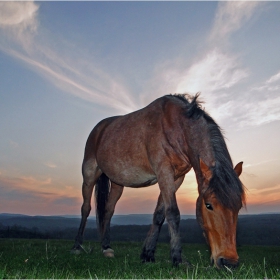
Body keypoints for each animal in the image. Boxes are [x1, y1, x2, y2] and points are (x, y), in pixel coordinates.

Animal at [71, 94, 245, 270]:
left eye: (238, 206)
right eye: (208, 205)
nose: (229, 262)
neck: (176, 127)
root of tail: (99, 129)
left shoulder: (176, 178)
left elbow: (159, 214)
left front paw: (147, 254)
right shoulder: (164, 172)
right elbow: (173, 213)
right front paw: (177, 258)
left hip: (117, 183)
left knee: (108, 210)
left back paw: (106, 247)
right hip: (89, 175)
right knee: (86, 208)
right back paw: (77, 246)